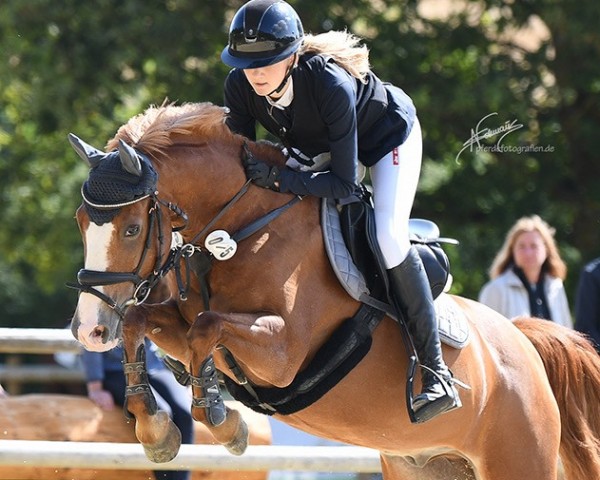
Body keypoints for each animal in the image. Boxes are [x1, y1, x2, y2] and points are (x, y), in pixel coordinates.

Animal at [69, 103, 600, 478]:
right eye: (80, 222)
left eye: (133, 228)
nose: (89, 330)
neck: (242, 228)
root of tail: (523, 341)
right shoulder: (178, 326)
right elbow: (143, 321)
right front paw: (156, 430)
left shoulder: (282, 355)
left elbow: (207, 326)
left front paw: (223, 420)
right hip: (423, 464)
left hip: (517, 459)